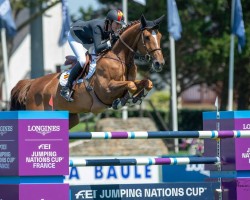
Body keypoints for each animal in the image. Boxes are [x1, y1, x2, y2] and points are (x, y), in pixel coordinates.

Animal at [10, 14, 166, 129]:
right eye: (147, 37)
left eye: (159, 36)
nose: (160, 63)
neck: (120, 58)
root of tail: (32, 83)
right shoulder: (105, 90)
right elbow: (131, 85)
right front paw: (122, 101)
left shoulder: (129, 81)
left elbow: (147, 82)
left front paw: (137, 97)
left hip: (71, 117)